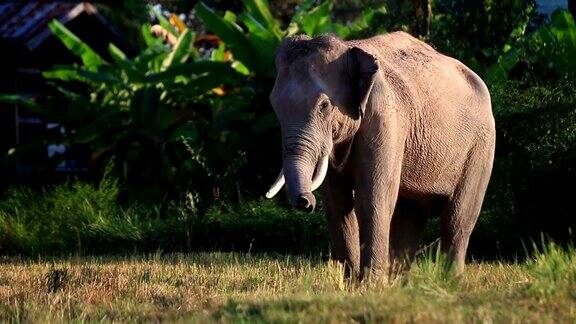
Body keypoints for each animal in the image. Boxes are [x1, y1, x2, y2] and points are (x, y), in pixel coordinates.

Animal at [266, 31, 496, 278]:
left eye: (324, 106)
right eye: (274, 105)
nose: (306, 202)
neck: (348, 48)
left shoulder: (384, 118)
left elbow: (372, 197)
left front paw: (370, 284)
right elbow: (337, 204)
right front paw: (352, 284)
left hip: (481, 146)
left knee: (457, 219)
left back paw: (450, 282)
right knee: (409, 217)